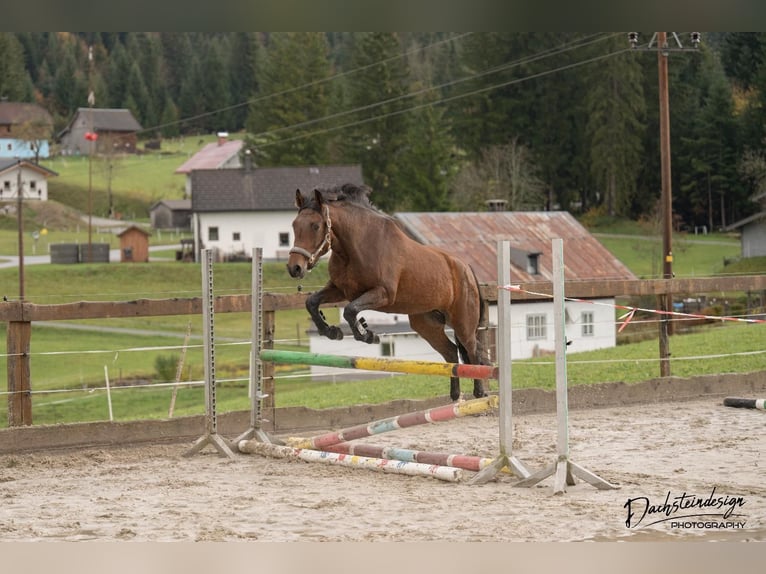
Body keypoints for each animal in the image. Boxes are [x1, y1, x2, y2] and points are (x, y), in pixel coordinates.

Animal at [284, 184, 488, 400]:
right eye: (294, 225)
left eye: (315, 226)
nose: (295, 268)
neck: (354, 248)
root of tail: (467, 268)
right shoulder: (340, 290)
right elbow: (312, 303)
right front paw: (332, 331)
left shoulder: (382, 293)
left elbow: (350, 310)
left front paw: (367, 334)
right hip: (426, 323)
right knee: (450, 351)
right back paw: (455, 396)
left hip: (462, 322)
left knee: (472, 350)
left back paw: (479, 392)